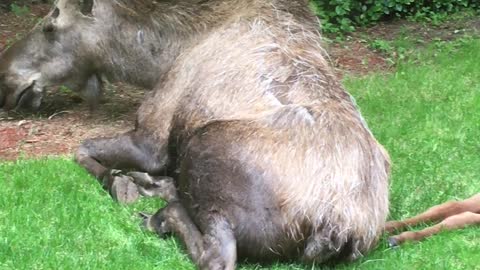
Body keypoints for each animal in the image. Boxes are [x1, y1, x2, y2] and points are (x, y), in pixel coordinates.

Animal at [0, 0, 392, 268]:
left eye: (51, 25)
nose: (5, 78)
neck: (160, 56)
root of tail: (341, 226)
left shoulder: (151, 140)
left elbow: (80, 148)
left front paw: (119, 182)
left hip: (205, 147)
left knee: (216, 255)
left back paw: (160, 213)